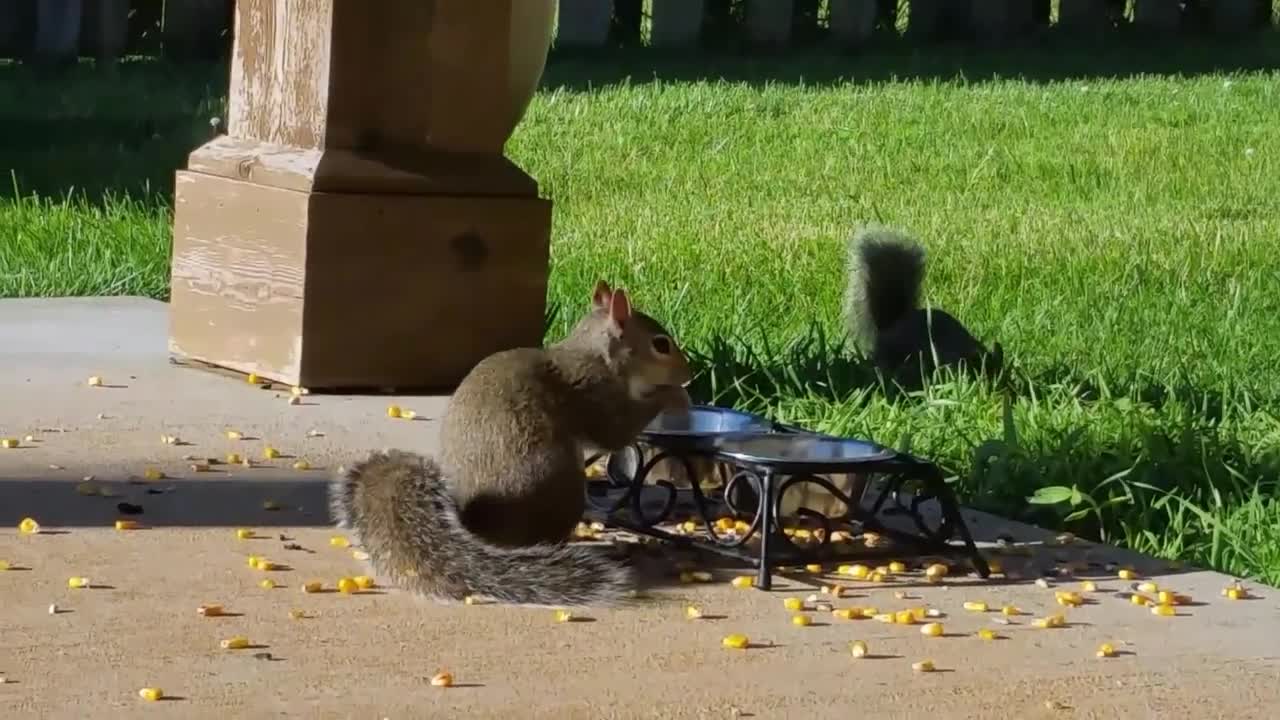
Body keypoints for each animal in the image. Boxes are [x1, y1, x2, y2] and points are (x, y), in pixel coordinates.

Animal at [330, 280, 691, 604]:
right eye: (661, 345)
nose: (688, 374)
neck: (596, 355)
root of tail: (478, 529)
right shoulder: (593, 394)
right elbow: (616, 433)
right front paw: (675, 396)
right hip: (563, 486)